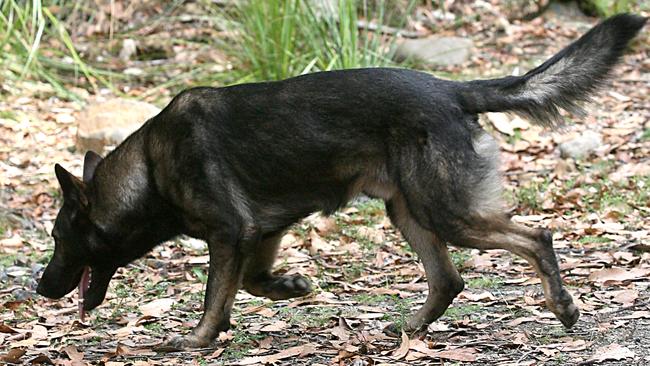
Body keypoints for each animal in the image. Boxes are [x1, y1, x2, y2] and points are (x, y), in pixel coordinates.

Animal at [38, 12, 640, 348]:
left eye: (58, 237)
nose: (39, 288)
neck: (149, 169)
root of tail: (451, 90)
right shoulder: (260, 233)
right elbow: (250, 283)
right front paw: (290, 287)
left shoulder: (231, 233)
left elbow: (214, 298)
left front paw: (194, 341)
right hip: (409, 212)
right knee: (449, 280)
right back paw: (409, 331)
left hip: (446, 212)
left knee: (535, 237)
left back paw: (563, 307)